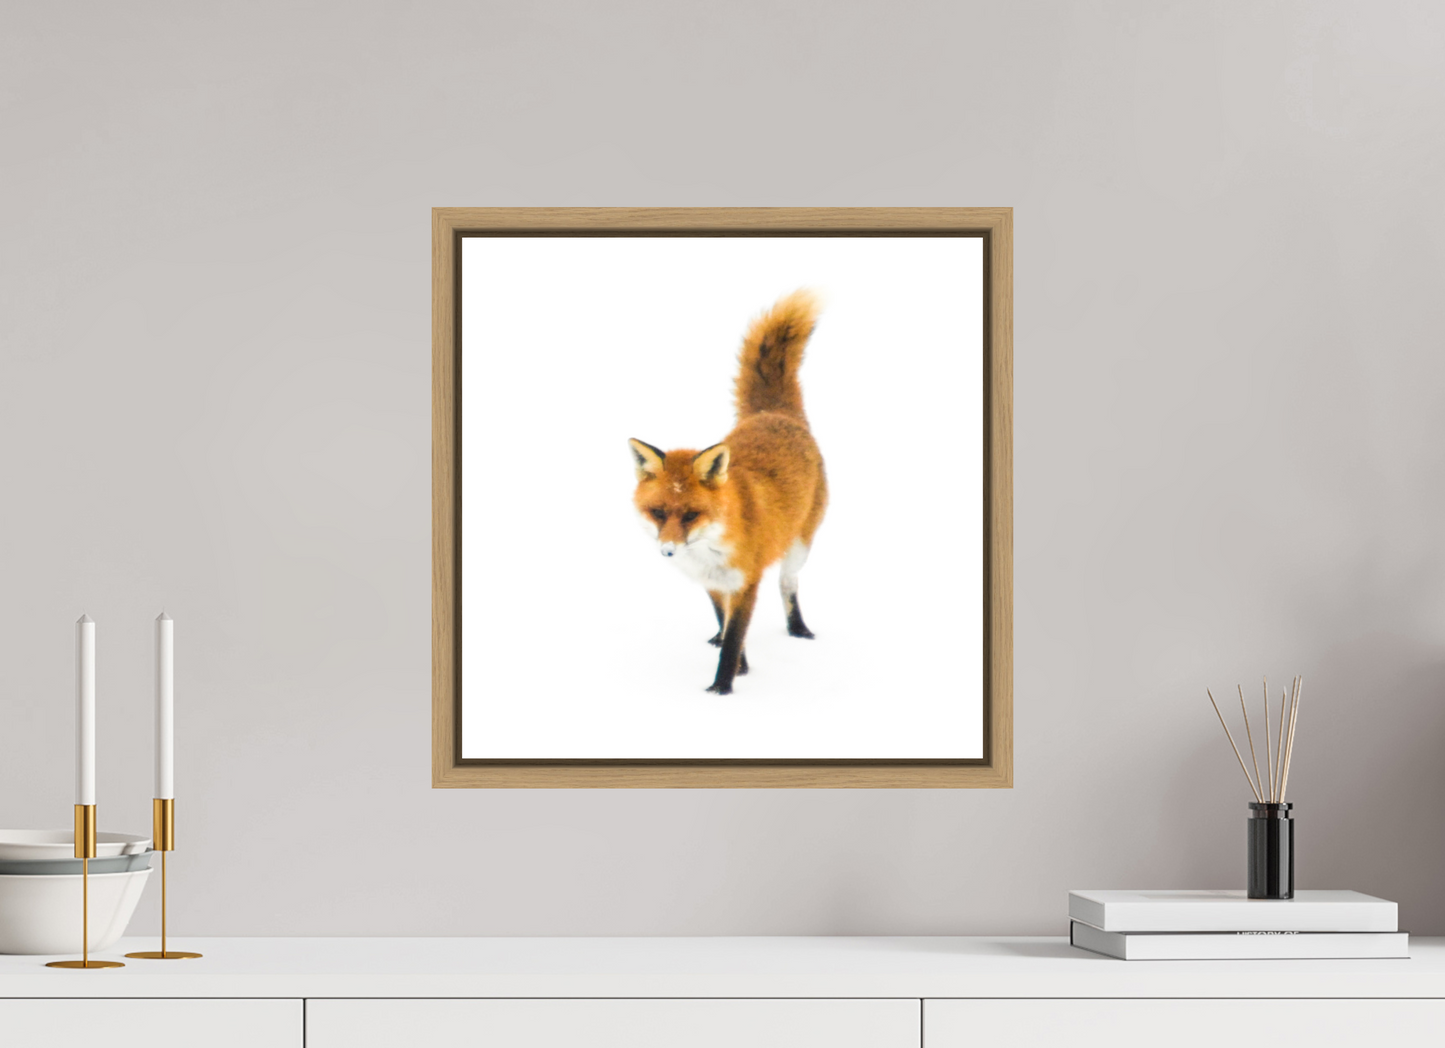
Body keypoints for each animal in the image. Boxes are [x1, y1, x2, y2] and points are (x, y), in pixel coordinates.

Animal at [629, 289, 827, 695]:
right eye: (659, 512)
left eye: (691, 514)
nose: (667, 551)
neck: (709, 547)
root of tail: (773, 414)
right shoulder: (713, 584)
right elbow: (727, 625)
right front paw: (741, 668)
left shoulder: (745, 582)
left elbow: (736, 635)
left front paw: (722, 689)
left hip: (799, 546)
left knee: (788, 583)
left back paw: (798, 629)